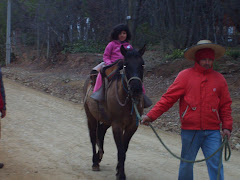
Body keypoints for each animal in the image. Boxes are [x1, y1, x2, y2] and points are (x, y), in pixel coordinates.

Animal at [83, 44, 145, 179]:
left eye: (142, 64)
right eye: (125, 65)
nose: (136, 89)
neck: (127, 101)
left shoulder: (132, 126)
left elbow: (124, 149)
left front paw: (118, 170)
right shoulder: (117, 125)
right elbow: (121, 150)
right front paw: (121, 174)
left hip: (106, 120)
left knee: (100, 132)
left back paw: (99, 157)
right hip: (91, 116)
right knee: (93, 136)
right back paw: (95, 162)